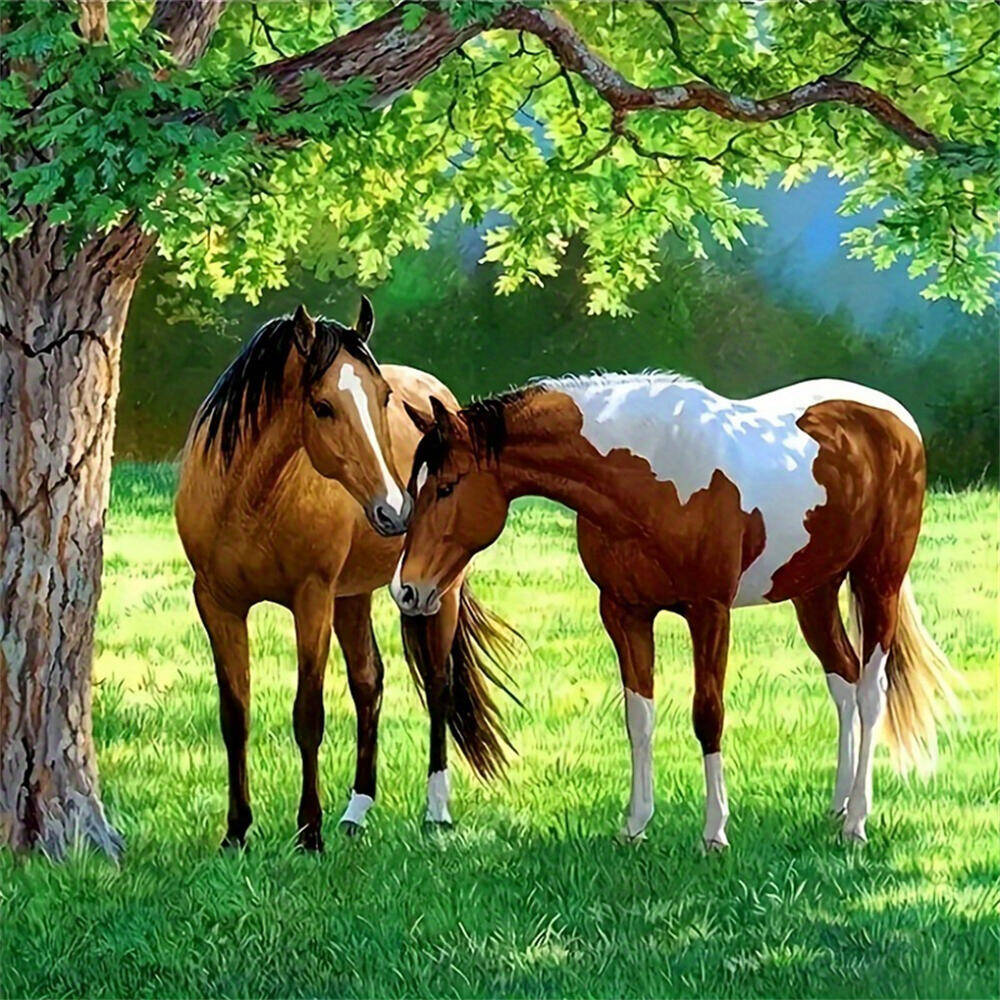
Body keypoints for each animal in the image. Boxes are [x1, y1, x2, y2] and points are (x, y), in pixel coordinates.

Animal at [175, 299, 514, 852]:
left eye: (383, 397)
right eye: (322, 406)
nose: (396, 510)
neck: (246, 500)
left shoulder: (311, 599)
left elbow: (308, 715)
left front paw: (308, 833)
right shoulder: (217, 603)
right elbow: (235, 715)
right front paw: (236, 832)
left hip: (438, 591)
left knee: (439, 685)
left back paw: (436, 811)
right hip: (352, 597)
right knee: (369, 682)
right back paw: (357, 810)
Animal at [391, 372, 958, 849]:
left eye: (446, 487)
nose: (407, 591)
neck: (652, 480)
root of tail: (894, 417)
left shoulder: (709, 612)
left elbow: (708, 715)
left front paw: (715, 833)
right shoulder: (624, 613)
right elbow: (638, 717)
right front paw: (636, 825)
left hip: (877, 581)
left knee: (869, 693)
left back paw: (857, 822)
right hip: (813, 592)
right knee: (842, 679)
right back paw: (837, 806)